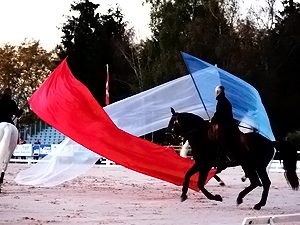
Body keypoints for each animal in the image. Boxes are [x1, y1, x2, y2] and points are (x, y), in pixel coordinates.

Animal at [165, 108, 298, 210]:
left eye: (173, 122)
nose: (169, 136)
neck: (202, 137)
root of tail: (270, 142)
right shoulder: (200, 163)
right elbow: (188, 175)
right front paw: (183, 195)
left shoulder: (206, 165)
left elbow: (200, 184)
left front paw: (216, 197)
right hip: (250, 166)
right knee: (257, 182)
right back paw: (243, 199)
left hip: (256, 166)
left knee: (263, 183)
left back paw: (257, 204)